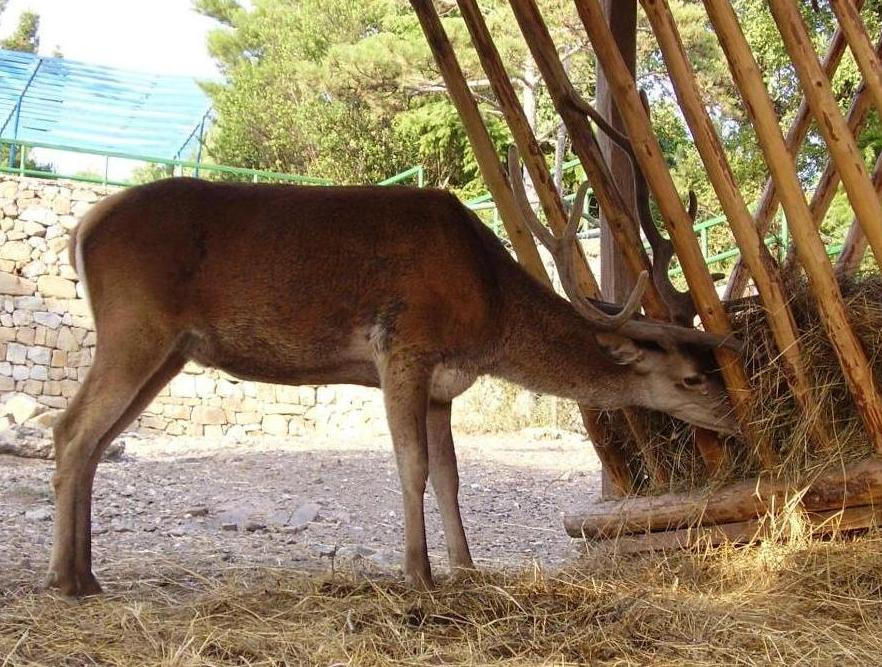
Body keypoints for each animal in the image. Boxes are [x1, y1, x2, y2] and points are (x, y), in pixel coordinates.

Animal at [47, 175, 739, 596]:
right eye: (692, 377)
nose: (736, 419)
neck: (487, 312)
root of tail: (83, 225)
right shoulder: (404, 347)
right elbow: (412, 466)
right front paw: (418, 573)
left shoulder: (443, 385)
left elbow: (450, 476)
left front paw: (465, 567)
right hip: (135, 326)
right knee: (71, 428)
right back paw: (65, 579)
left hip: (167, 351)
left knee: (92, 439)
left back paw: (87, 573)